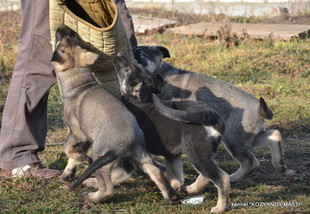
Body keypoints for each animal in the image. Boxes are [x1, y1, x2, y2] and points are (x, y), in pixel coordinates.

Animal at [50, 24, 179, 204]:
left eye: (60, 40)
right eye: (71, 38)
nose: (64, 27)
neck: (80, 83)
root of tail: (128, 142)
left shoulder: (77, 133)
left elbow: (68, 148)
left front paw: (83, 160)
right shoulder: (85, 137)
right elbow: (72, 156)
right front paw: (69, 171)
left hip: (101, 155)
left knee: (107, 189)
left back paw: (92, 196)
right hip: (141, 156)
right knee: (156, 172)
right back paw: (170, 195)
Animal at [114, 52, 230, 214]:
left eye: (128, 69)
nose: (119, 54)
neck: (138, 100)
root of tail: (209, 114)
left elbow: (115, 174)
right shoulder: (171, 155)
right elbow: (175, 177)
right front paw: (173, 190)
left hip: (196, 154)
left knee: (221, 178)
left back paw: (220, 207)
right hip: (204, 153)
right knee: (208, 174)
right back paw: (193, 189)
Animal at [132, 45, 286, 182]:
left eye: (140, 54)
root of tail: (258, 108)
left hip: (233, 138)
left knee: (251, 163)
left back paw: (233, 178)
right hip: (246, 137)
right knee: (274, 135)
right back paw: (279, 164)